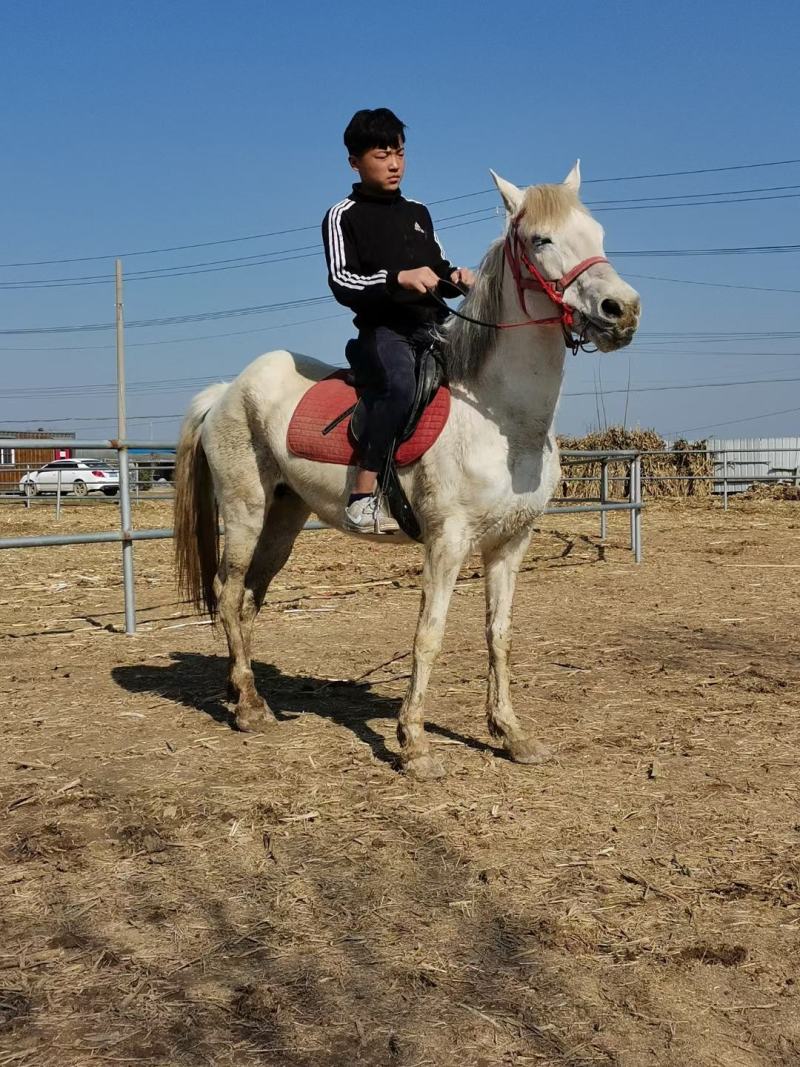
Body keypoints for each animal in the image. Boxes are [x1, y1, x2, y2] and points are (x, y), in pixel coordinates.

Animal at [174, 163, 641, 780]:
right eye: (541, 239)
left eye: (598, 233)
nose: (622, 310)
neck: (498, 418)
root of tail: (227, 391)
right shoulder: (447, 542)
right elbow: (429, 636)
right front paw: (414, 744)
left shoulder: (511, 543)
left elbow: (499, 635)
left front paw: (512, 735)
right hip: (245, 510)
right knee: (228, 594)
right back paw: (250, 710)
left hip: (284, 519)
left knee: (249, 599)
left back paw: (242, 693)